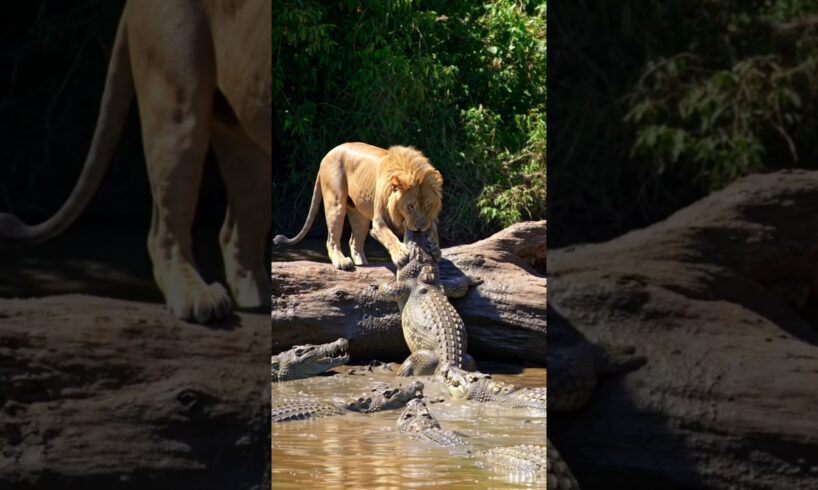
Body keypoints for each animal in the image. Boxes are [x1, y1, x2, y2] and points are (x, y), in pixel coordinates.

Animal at [0, 0, 271, 323]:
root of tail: (130, 4)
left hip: (240, 120)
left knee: (236, 227)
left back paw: (258, 299)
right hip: (175, 97)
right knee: (164, 230)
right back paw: (197, 298)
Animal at [274, 143, 443, 270]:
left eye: (428, 205)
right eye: (410, 206)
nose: (419, 227)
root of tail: (327, 155)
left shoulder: (427, 219)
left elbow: (433, 228)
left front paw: (435, 248)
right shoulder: (378, 222)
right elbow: (389, 236)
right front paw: (401, 254)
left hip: (359, 216)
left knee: (354, 242)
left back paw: (363, 264)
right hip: (336, 204)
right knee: (332, 240)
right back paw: (342, 262)